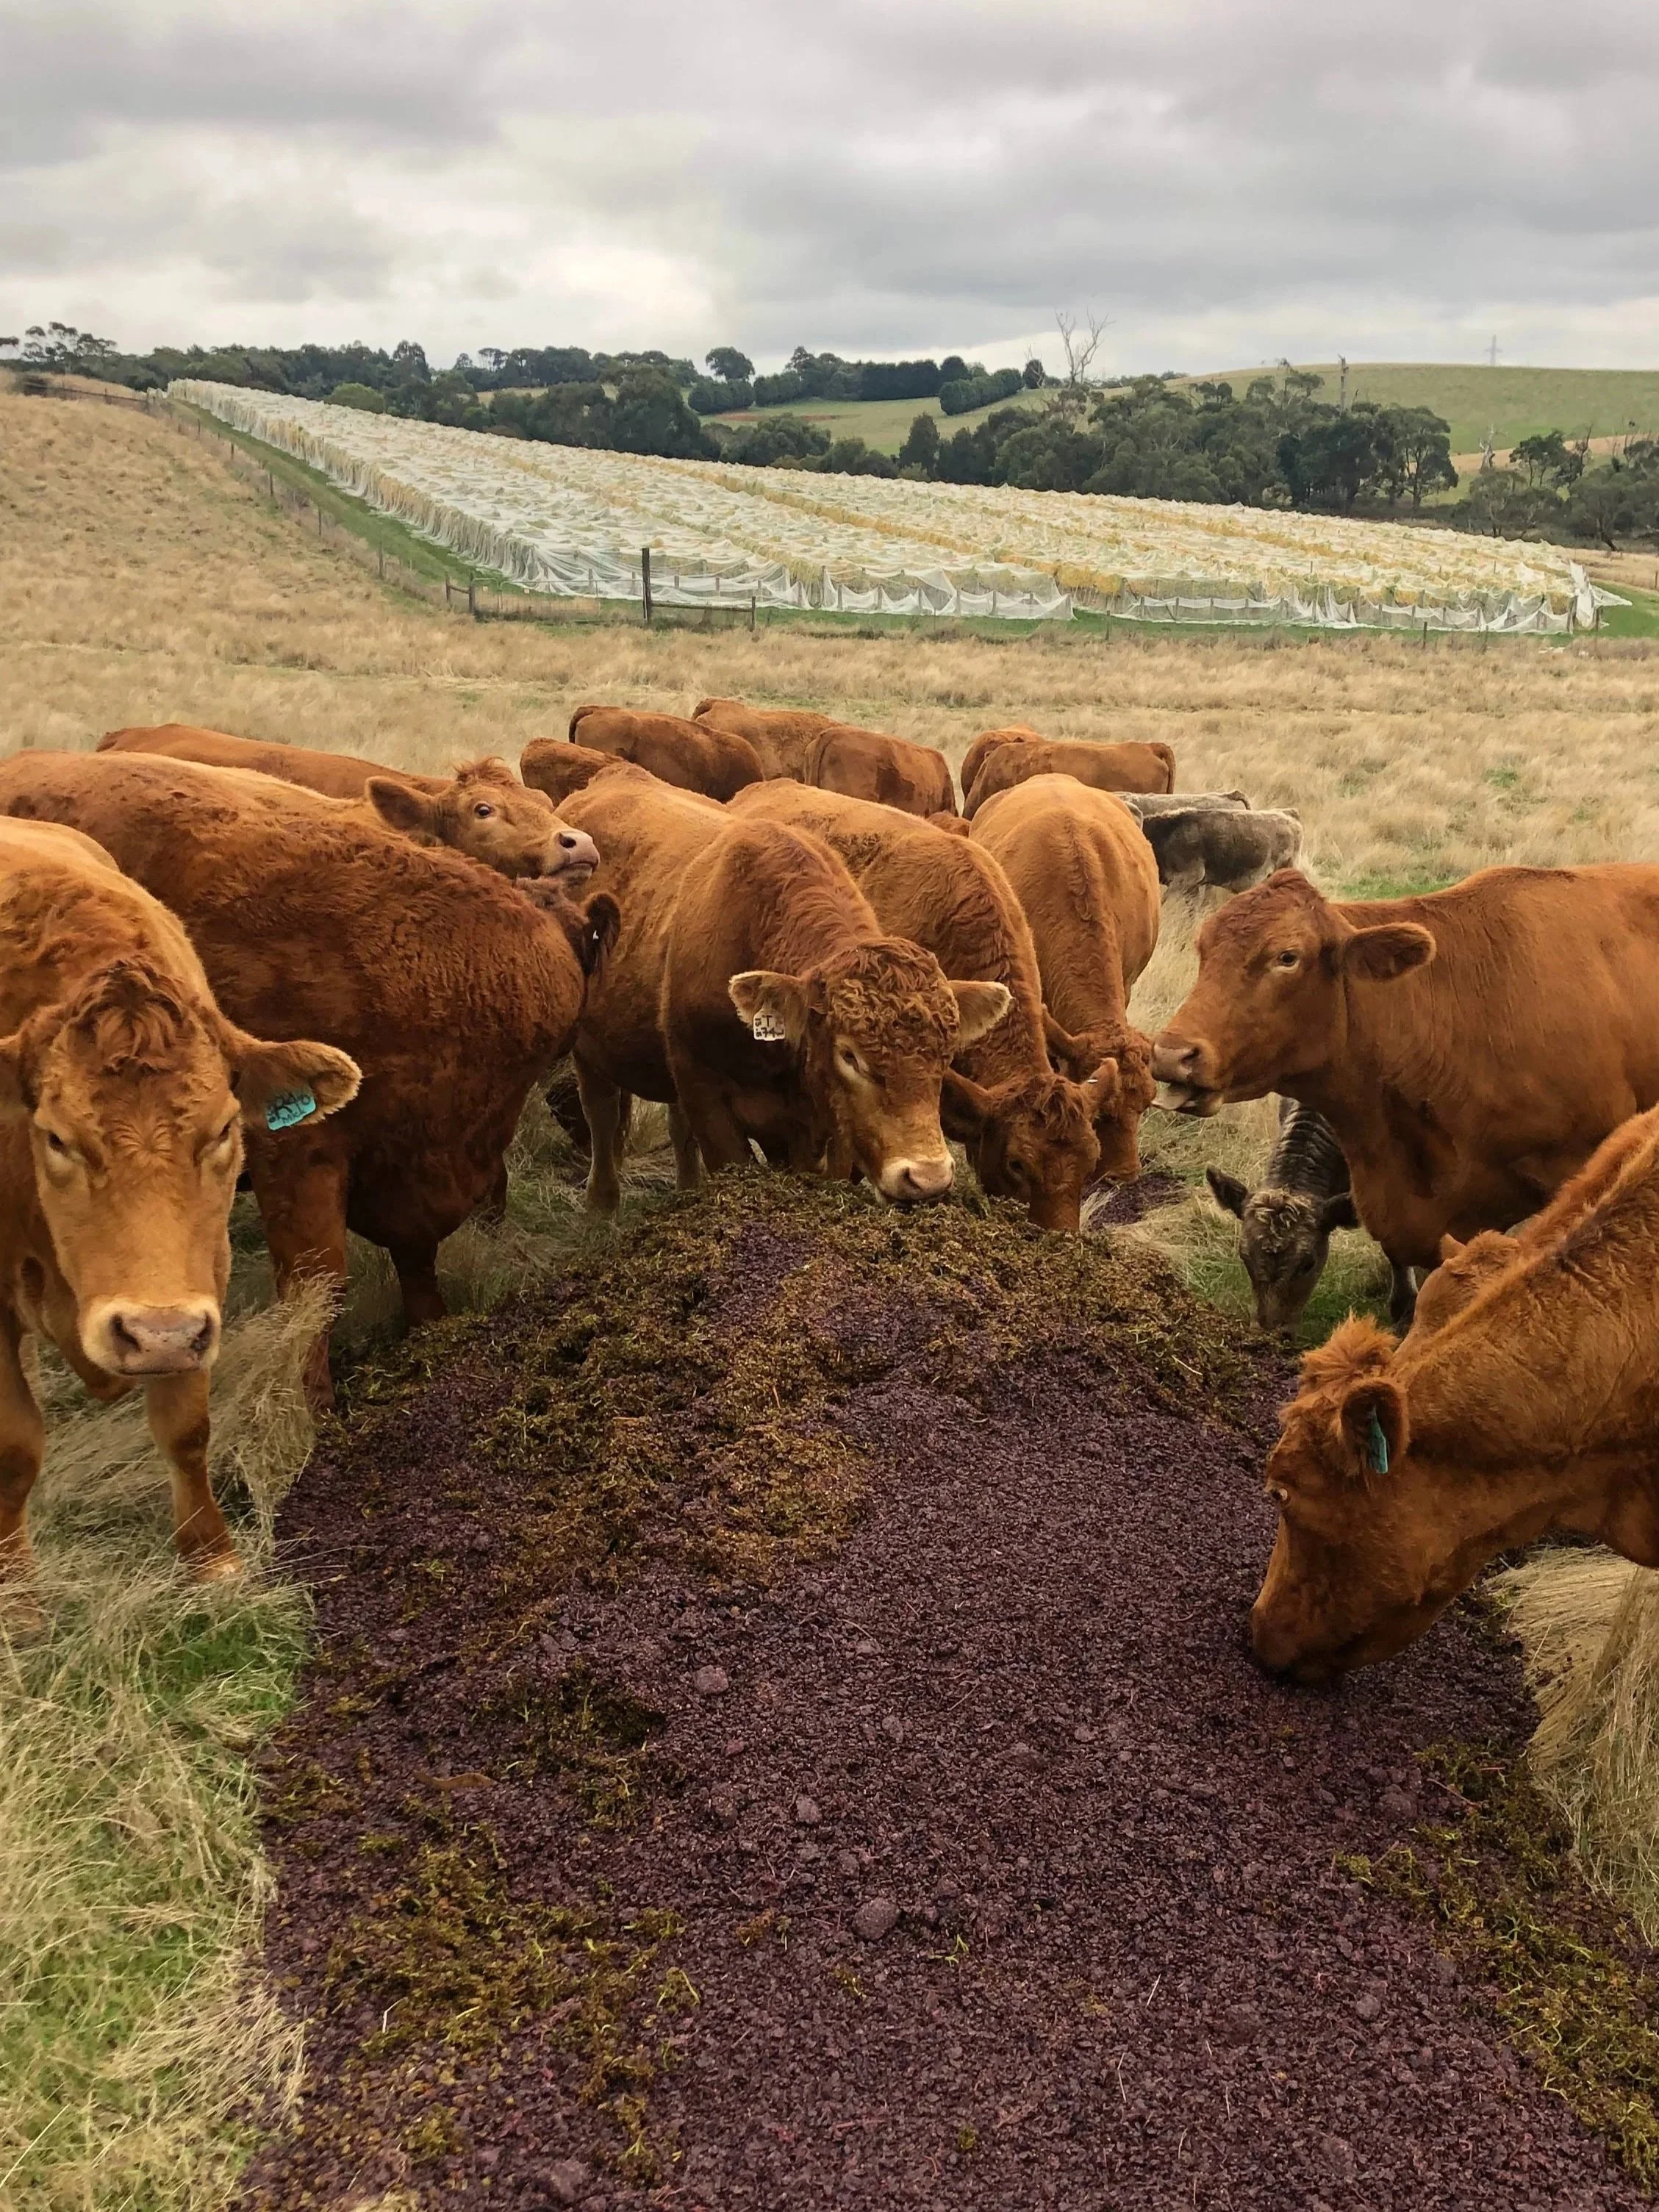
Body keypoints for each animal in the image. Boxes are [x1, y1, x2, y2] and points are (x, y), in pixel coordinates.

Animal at [0, 752, 598, 1402]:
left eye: (543, 800)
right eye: (482, 809)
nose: (576, 844)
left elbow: (417, 1255)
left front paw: (431, 1332)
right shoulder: (296, 1150)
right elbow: (316, 1286)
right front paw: (317, 1405)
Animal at [0, 816, 358, 1598]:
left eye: (223, 1128)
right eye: (56, 1137)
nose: (153, 1333)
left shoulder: (200, 1281)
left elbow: (186, 1426)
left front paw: (213, 1561)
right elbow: (13, 1451)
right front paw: (18, 1599)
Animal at [556, 774, 1010, 1215]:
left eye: (947, 1056)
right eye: (849, 1055)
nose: (927, 1177)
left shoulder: (823, 1131)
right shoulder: (706, 1095)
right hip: (590, 1052)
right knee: (601, 1117)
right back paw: (600, 1207)